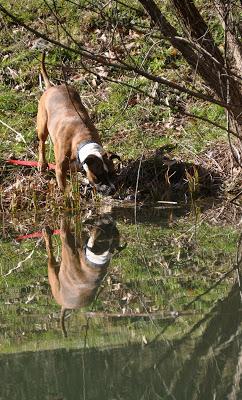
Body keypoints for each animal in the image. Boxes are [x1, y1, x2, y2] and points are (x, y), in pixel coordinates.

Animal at [36, 52, 118, 196]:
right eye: (99, 177)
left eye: (113, 174)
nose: (112, 190)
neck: (82, 142)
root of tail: (52, 87)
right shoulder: (60, 169)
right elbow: (64, 187)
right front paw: (70, 196)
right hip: (42, 126)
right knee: (41, 143)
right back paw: (42, 163)